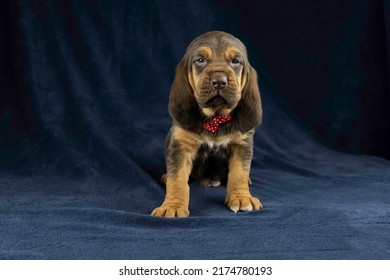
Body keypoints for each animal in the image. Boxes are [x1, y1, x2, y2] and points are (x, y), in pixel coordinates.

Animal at [151, 31, 264, 219]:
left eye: (235, 61)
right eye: (200, 60)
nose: (219, 80)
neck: (214, 118)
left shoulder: (241, 144)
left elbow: (239, 173)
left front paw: (241, 197)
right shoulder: (180, 146)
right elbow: (178, 180)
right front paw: (173, 206)